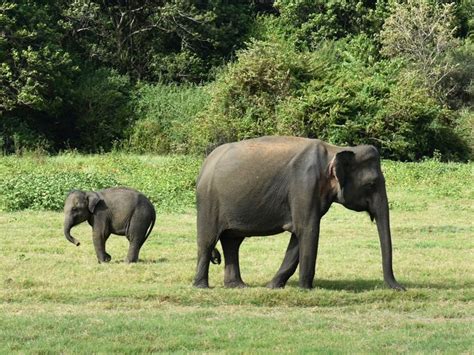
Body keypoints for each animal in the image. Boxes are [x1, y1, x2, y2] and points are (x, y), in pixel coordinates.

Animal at [194, 136, 406, 292]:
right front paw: (306, 289)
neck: (334, 150)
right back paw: (202, 287)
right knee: (208, 240)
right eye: (371, 184)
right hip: (208, 202)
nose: (402, 288)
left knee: (232, 242)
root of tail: (205, 163)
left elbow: (298, 236)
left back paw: (237, 286)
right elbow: (308, 230)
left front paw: (273, 287)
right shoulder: (304, 184)